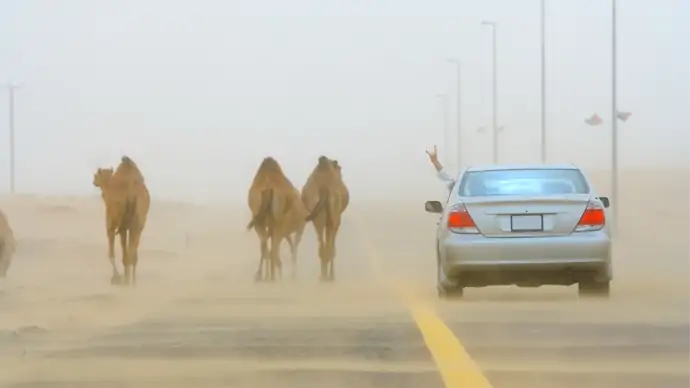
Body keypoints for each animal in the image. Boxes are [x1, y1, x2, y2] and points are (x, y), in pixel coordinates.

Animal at [92, 156, 149, 286]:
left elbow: (111, 253)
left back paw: (127, 281)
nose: (93, 181)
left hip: (123, 222)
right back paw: (133, 282)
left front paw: (116, 278)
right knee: (133, 251)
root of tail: (132, 193)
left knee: (126, 251)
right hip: (139, 221)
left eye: (95, 175)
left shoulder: (111, 223)